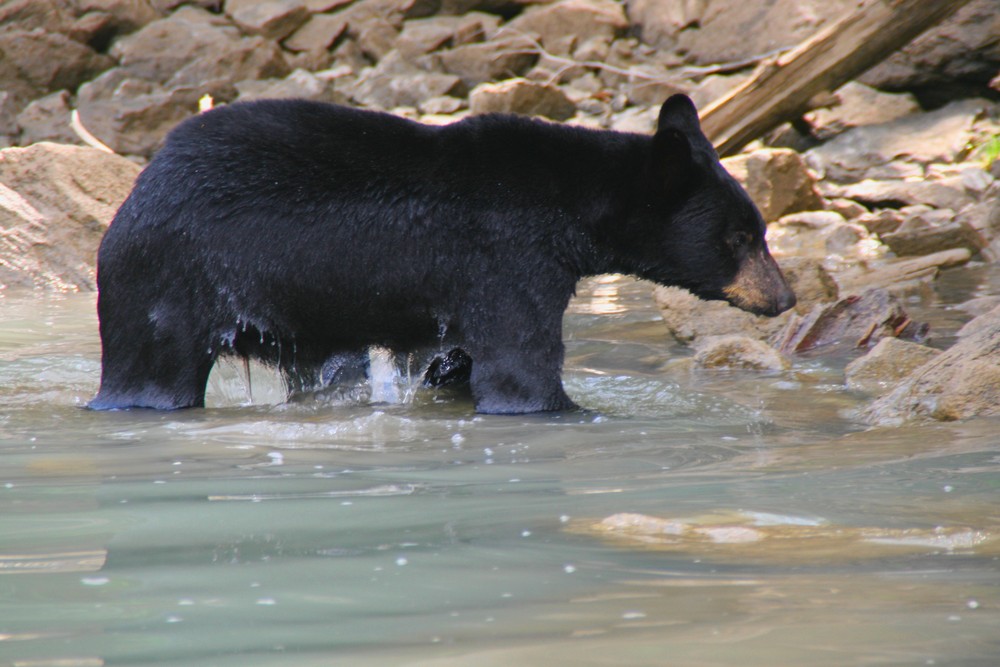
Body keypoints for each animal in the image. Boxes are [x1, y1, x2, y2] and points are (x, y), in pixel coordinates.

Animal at [92, 94, 796, 414]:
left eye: (759, 230)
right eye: (740, 237)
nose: (786, 297)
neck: (571, 207)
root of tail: (140, 183)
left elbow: (459, 361)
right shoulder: (509, 259)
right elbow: (520, 364)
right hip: (166, 277)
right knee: (150, 367)